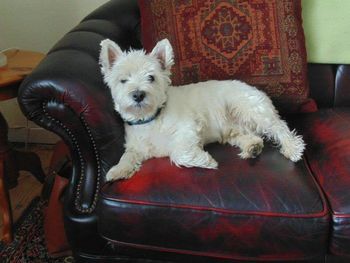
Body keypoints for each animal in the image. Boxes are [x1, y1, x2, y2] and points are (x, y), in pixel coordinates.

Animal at [98, 39, 304, 183]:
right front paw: (118, 170)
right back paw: (252, 147)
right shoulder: (137, 146)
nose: (138, 94)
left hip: (249, 108)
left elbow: (178, 152)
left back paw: (292, 148)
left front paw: (206, 160)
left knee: (278, 127)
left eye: (151, 77)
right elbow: (128, 155)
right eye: (123, 80)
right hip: (233, 129)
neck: (150, 119)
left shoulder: (188, 127)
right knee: (251, 136)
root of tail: (256, 89)